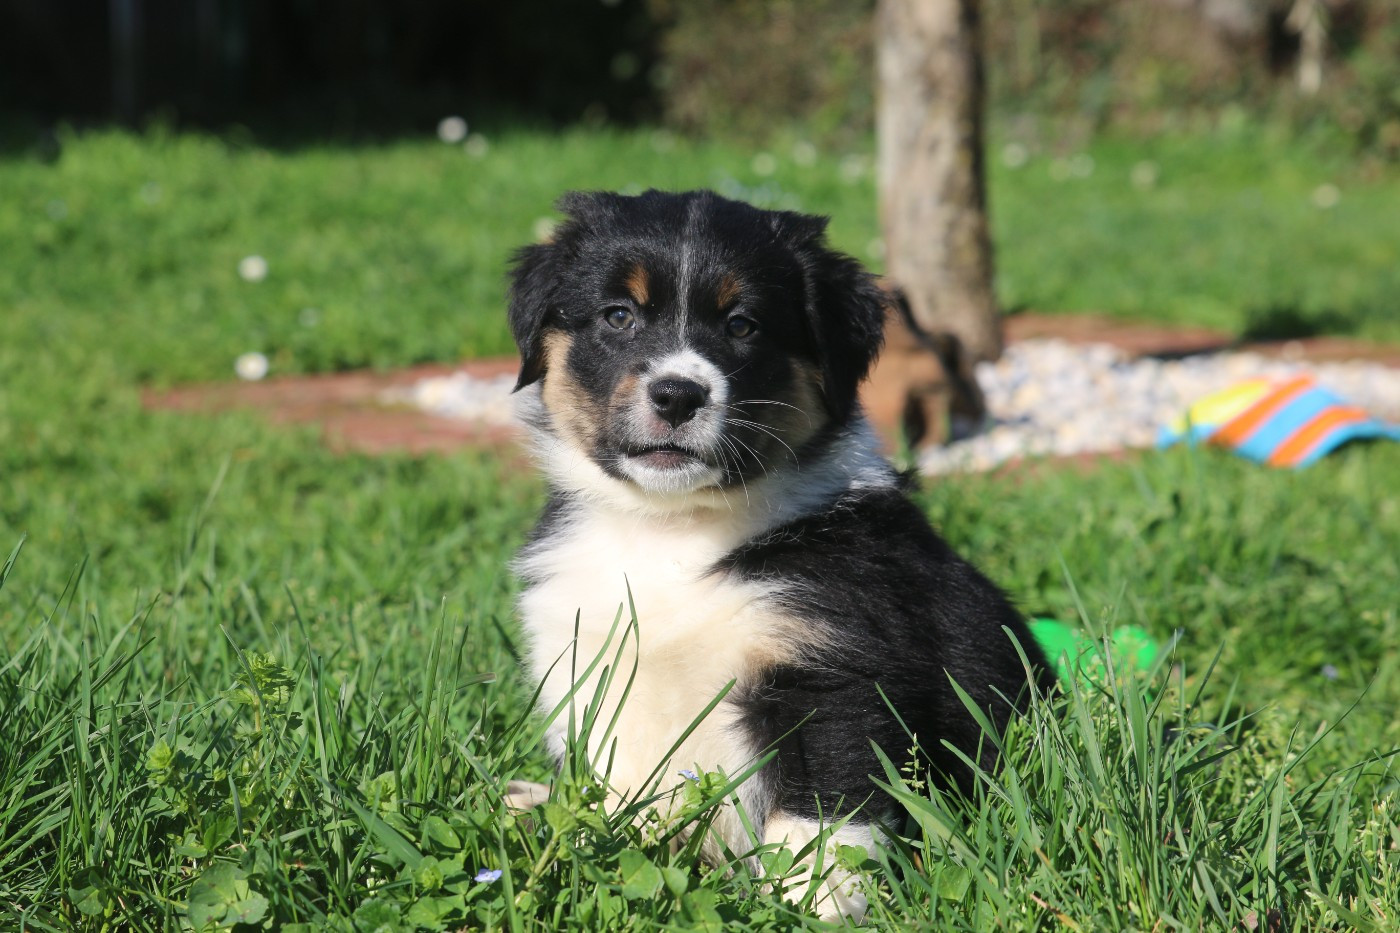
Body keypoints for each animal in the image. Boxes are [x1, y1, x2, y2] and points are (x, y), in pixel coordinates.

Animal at [506, 189, 1049, 920]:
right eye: (618, 316)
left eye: (743, 325)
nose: (678, 394)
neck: (673, 528)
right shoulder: (594, 665)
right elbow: (612, 798)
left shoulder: (830, 666)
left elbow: (820, 816)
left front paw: (810, 906)